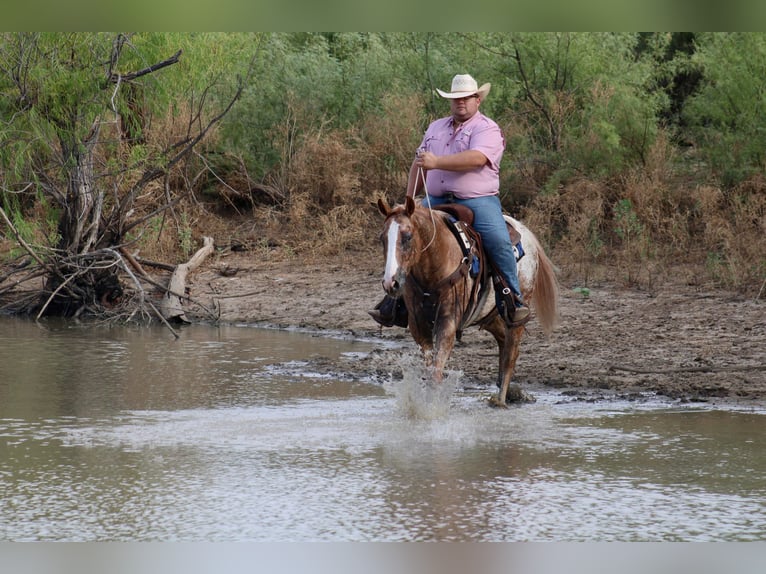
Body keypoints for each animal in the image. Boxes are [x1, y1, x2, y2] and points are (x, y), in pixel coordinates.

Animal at [376, 198, 560, 410]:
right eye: (382, 238)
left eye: (407, 237)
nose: (391, 283)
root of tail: (527, 234)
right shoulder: (418, 324)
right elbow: (429, 368)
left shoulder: (448, 321)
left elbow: (436, 371)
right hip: (488, 314)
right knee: (503, 341)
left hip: (518, 313)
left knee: (510, 354)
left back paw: (501, 399)